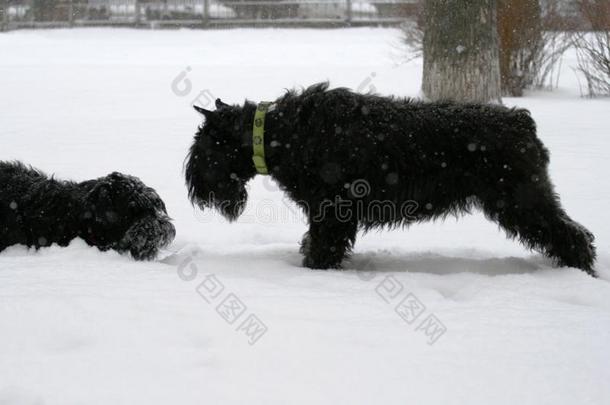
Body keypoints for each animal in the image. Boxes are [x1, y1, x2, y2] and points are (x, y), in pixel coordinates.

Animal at [184, 83, 592, 278]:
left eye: (203, 147)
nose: (195, 188)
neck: (278, 135)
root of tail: (522, 120)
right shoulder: (327, 213)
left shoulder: (331, 211)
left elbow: (323, 247)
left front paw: (315, 272)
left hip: (520, 199)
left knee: (570, 233)